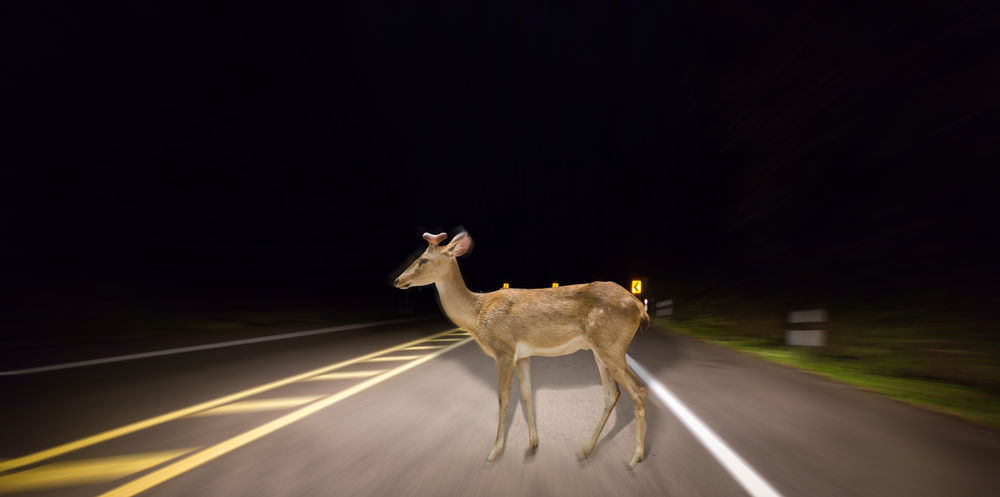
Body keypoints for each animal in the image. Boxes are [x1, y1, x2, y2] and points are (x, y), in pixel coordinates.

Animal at [393, 231, 649, 468]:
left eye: (423, 259)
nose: (397, 280)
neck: (477, 315)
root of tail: (640, 308)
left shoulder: (504, 350)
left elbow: (503, 397)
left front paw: (494, 452)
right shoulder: (522, 355)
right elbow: (526, 394)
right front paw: (533, 445)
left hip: (611, 346)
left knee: (637, 390)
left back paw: (635, 458)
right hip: (601, 350)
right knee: (614, 393)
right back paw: (585, 450)